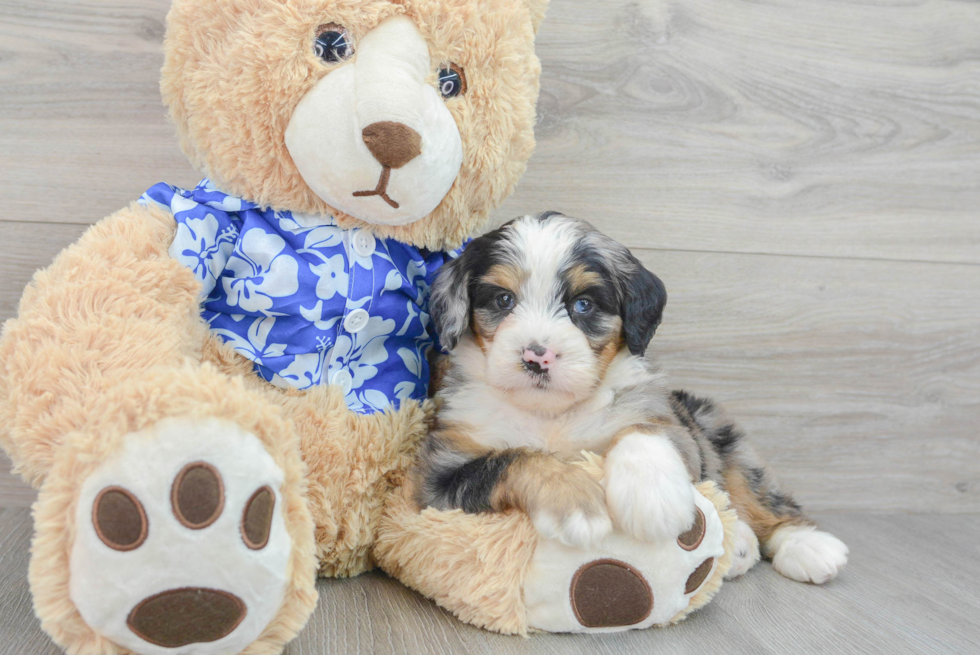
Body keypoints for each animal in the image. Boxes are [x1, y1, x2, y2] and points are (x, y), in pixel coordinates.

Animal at [418, 211, 848, 584]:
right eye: (503, 300)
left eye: (583, 304)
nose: (537, 357)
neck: (552, 414)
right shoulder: (438, 480)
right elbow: (516, 459)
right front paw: (575, 503)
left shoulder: (675, 429)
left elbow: (643, 432)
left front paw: (652, 499)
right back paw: (741, 545)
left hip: (723, 437)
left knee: (763, 497)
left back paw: (808, 545)